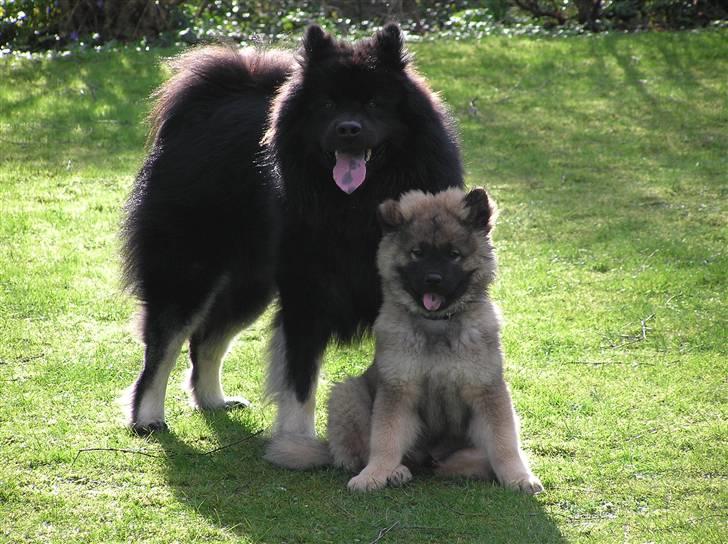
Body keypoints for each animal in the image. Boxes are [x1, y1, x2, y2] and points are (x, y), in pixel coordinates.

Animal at [118, 22, 460, 464]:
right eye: (328, 104)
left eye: (374, 103)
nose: (348, 128)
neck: (356, 206)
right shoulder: (307, 296)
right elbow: (300, 382)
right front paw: (298, 444)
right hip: (188, 273)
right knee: (163, 347)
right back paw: (147, 418)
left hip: (250, 283)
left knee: (206, 340)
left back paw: (212, 400)